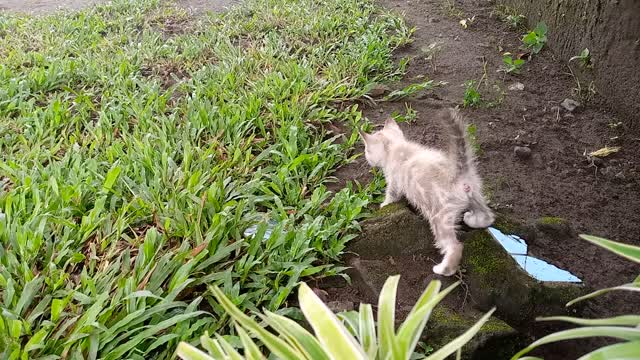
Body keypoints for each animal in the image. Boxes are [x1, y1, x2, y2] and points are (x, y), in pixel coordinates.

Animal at [360, 108, 496, 278]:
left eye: (366, 150)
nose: (367, 159)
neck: (396, 148)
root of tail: (457, 174)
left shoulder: (394, 182)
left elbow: (392, 196)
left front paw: (383, 205)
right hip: (476, 195)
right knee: (488, 216)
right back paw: (474, 220)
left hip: (439, 217)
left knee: (455, 246)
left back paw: (444, 269)